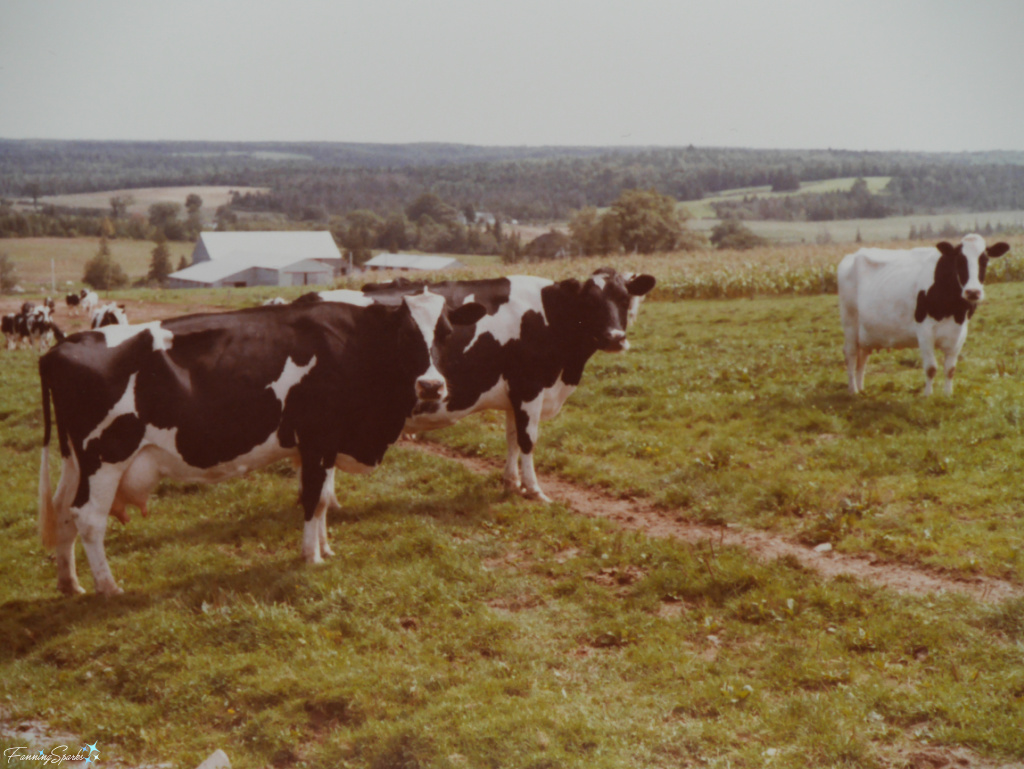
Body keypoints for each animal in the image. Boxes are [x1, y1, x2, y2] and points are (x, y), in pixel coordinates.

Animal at [37, 290, 485, 597]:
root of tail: (64, 346)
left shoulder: (322, 445)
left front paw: (325, 549)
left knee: (62, 510)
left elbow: (323, 499)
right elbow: (312, 499)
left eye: (446, 333)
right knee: (89, 518)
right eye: (406, 335)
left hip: (76, 459)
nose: (431, 385)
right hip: (106, 456)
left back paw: (69, 582)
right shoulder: (317, 439)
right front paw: (311, 557)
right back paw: (108, 587)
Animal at [835, 234, 1011, 397]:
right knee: (850, 354)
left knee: (863, 357)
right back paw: (853, 390)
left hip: (867, 332)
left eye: (985, 260)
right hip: (849, 322)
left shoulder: (960, 333)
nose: (973, 292)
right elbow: (931, 368)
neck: (954, 310)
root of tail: (853, 255)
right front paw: (927, 396)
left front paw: (947, 395)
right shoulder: (924, 331)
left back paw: (861, 388)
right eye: (959, 260)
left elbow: (950, 369)